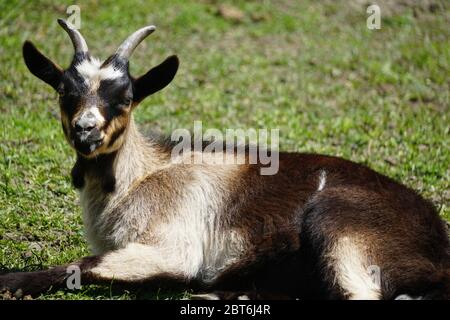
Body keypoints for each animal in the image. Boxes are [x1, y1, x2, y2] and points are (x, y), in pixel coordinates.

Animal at [0, 19, 450, 300]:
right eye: (65, 92)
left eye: (125, 98)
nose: (86, 130)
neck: (141, 177)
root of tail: (438, 249)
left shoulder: (173, 246)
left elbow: (84, 264)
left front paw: (12, 280)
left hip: (342, 228)